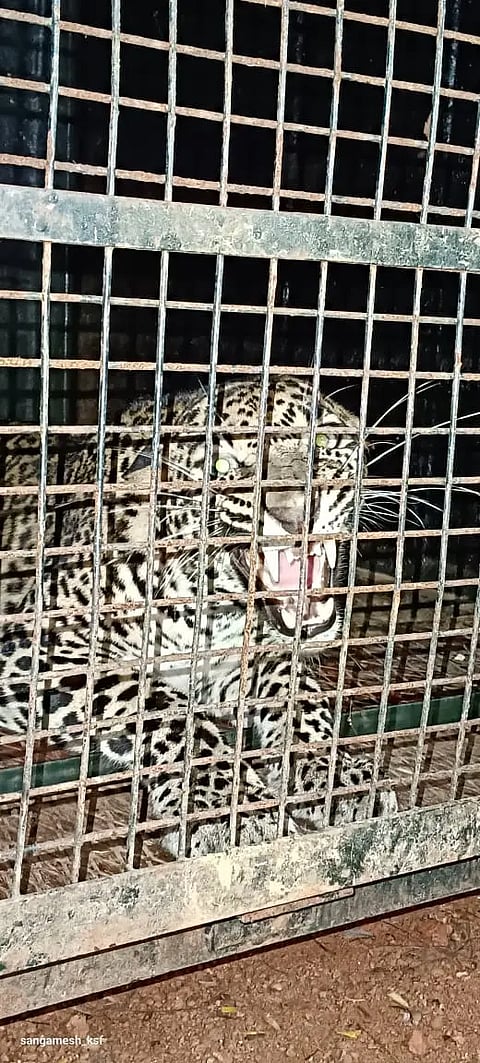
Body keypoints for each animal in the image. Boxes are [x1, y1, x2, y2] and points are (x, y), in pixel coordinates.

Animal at [0, 375, 397, 857]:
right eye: (224, 464)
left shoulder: (241, 662)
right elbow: (164, 711)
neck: (216, 606)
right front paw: (229, 805)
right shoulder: (31, 650)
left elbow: (301, 696)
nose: (294, 511)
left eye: (321, 441)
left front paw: (334, 771)